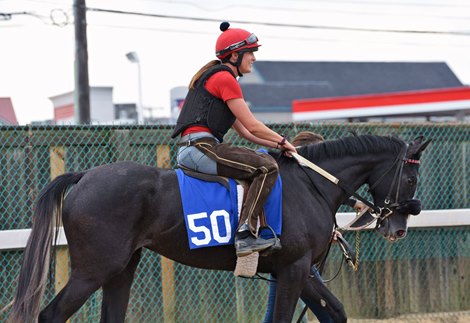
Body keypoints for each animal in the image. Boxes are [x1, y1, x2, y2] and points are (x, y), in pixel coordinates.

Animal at [6, 133, 430, 322]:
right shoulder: (294, 269)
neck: (311, 184)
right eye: (411, 179)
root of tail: (84, 176)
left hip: (121, 269)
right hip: (94, 269)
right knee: (51, 315)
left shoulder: (300, 270)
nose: (398, 227)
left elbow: (335, 313)